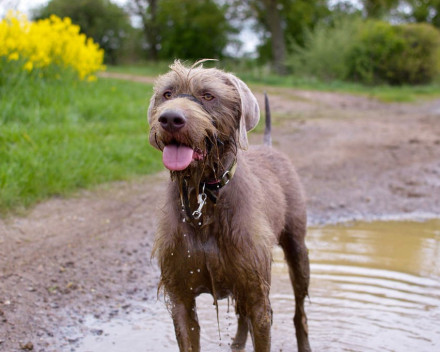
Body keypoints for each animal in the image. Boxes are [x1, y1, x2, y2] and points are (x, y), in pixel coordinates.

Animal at [147, 60, 310, 352]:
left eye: (208, 96)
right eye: (167, 94)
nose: (170, 119)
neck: (204, 197)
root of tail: (270, 146)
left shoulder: (258, 297)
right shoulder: (180, 298)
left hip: (297, 249)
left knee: (299, 311)